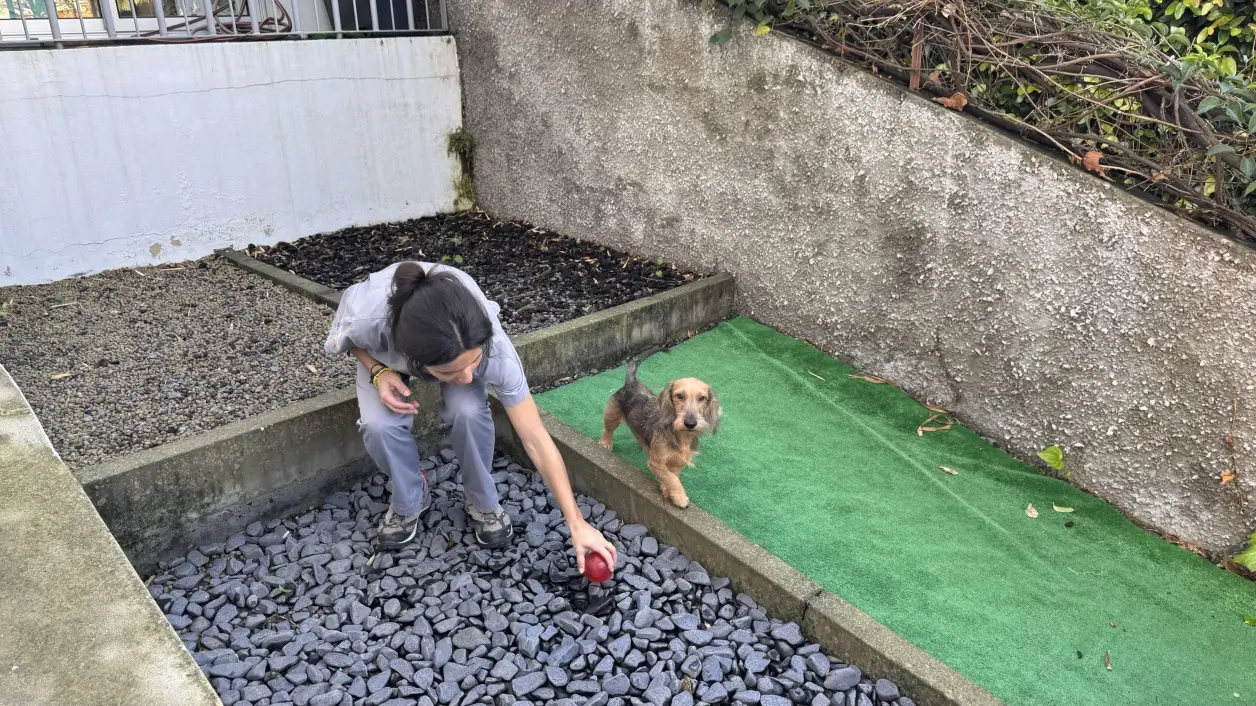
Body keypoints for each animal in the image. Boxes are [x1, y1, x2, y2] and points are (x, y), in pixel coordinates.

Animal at [595, 346, 718, 505]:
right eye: (679, 396)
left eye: (702, 398)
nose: (690, 423)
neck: (680, 436)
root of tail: (631, 383)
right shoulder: (656, 462)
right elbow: (672, 479)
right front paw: (680, 497)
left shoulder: (677, 462)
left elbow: (672, 476)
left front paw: (667, 490)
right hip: (612, 415)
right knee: (607, 428)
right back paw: (605, 442)